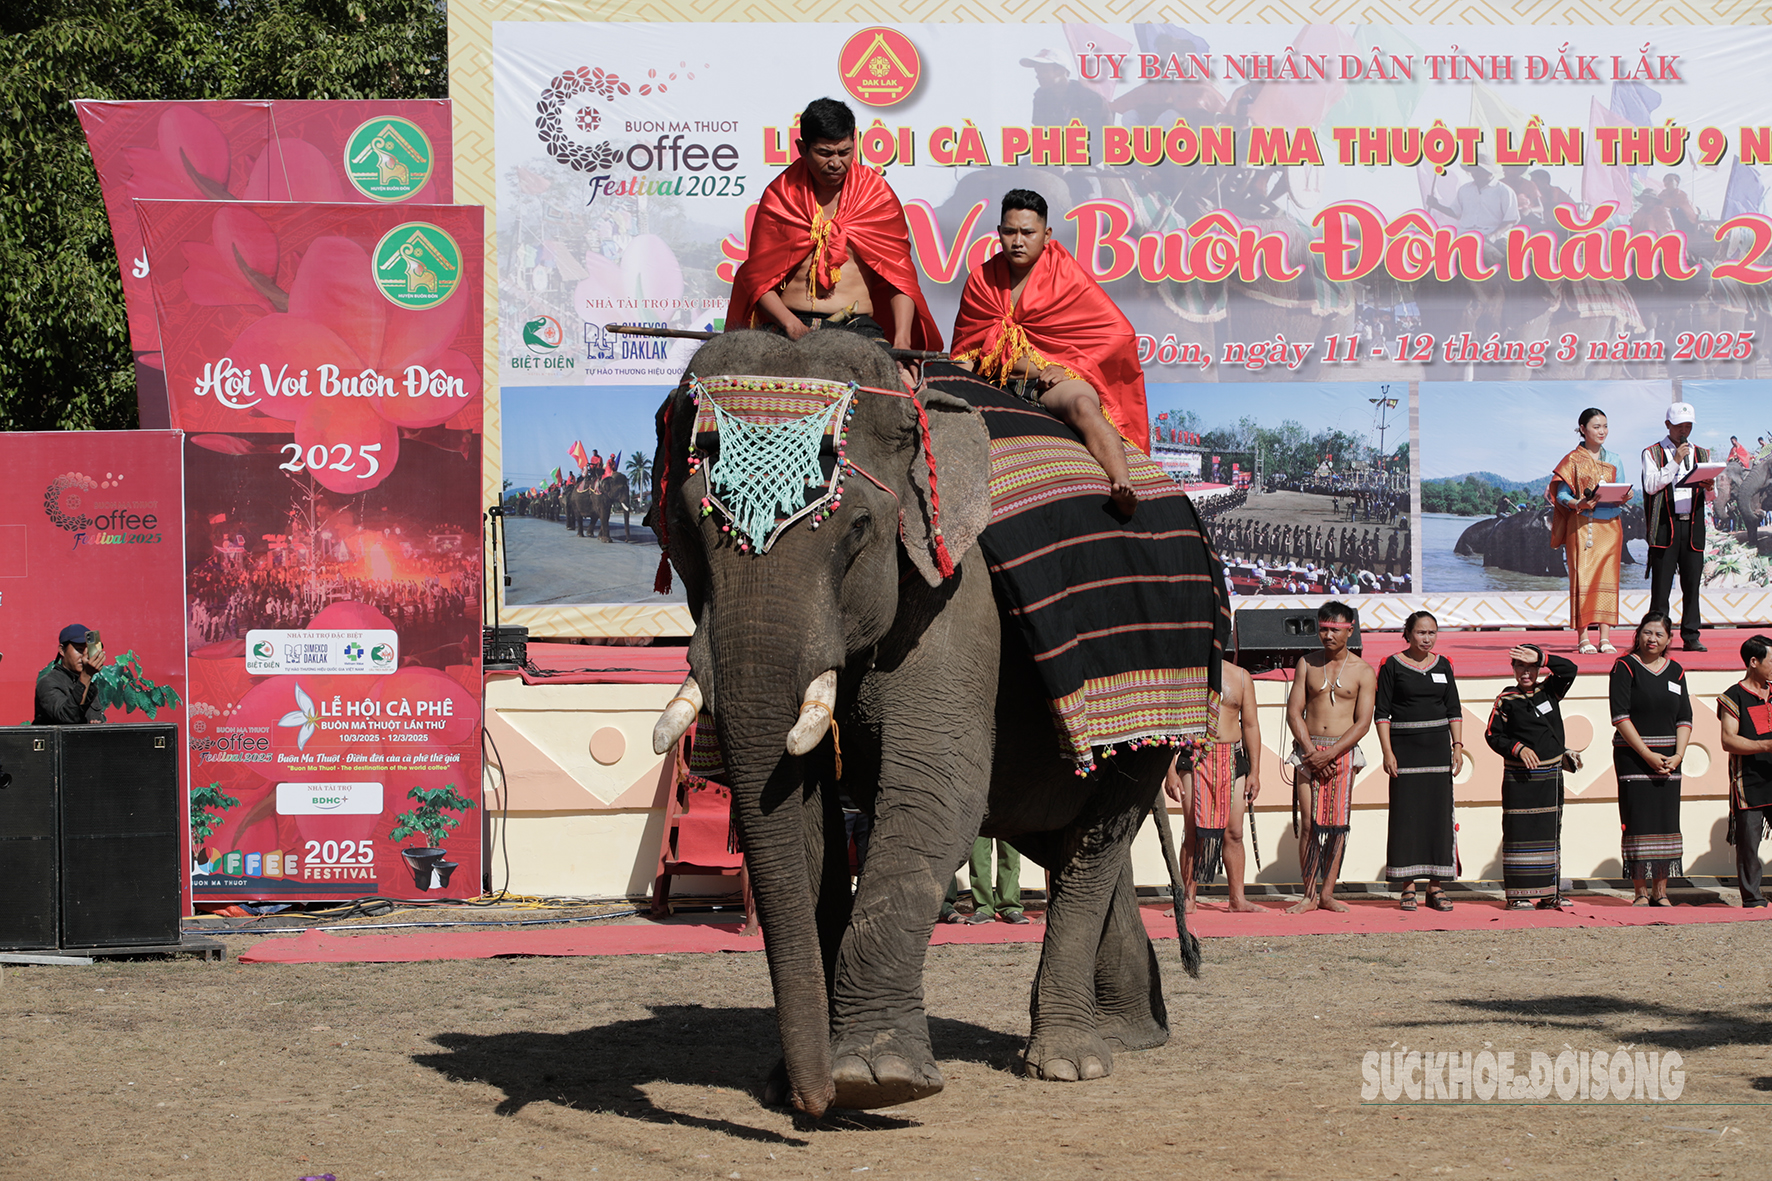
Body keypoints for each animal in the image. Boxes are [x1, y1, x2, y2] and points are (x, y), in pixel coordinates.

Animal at [645, 328, 1226, 1113]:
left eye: (859, 528)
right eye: (681, 529)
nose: (807, 1102)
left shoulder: (957, 597)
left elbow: (935, 792)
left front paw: (875, 1080)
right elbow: (802, 816)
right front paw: (802, 1079)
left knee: (1100, 835)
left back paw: (1071, 1061)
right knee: (1075, 837)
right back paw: (1130, 1036)